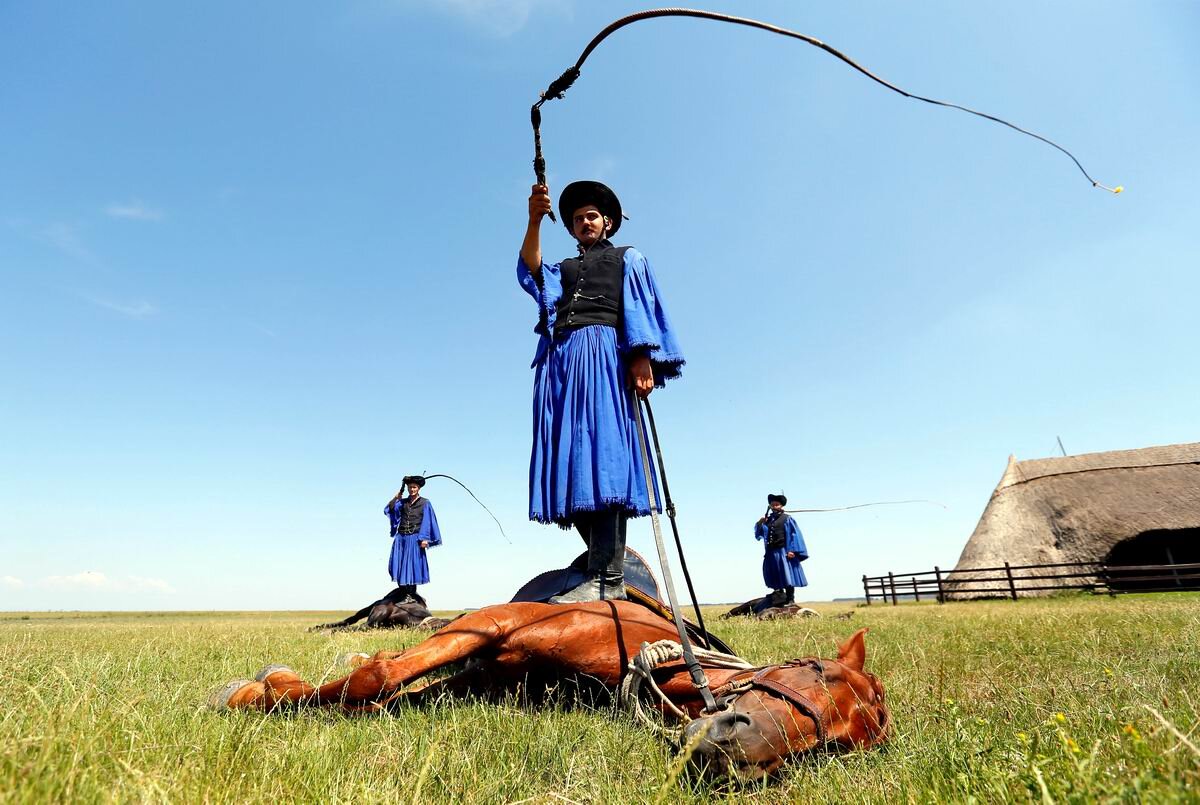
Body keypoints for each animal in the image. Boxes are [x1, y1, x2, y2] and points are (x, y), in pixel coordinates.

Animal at [213, 597, 892, 782]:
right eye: (819, 672)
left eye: (833, 747)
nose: (737, 751)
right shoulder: (492, 625)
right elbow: (375, 676)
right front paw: (255, 692)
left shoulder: (480, 680)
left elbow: (378, 693)